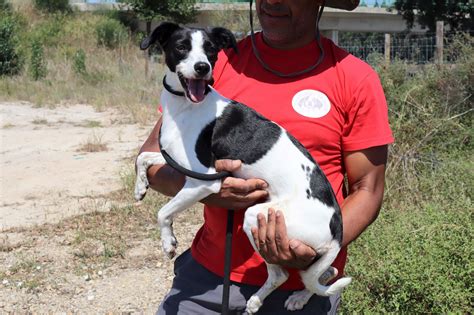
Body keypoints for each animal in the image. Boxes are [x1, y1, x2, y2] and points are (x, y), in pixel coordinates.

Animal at [135, 21, 350, 314]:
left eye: (211, 49)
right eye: (181, 46)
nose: (202, 67)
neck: (186, 106)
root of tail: (337, 227)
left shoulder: (204, 180)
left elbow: (163, 212)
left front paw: (168, 242)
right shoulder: (177, 161)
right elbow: (143, 157)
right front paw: (140, 187)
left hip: (257, 216)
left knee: (282, 274)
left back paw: (257, 300)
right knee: (324, 274)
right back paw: (298, 297)